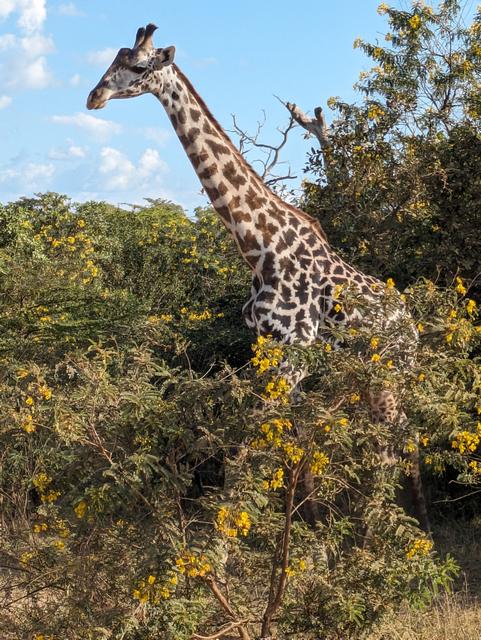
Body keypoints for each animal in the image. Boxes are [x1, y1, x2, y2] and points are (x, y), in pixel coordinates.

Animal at [86, 24, 429, 531]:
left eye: (141, 66)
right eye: (115, 58)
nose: (94, 96)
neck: (258, 246)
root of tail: (411, 326)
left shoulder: (296, 350)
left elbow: (247, 450)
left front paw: (227, 539)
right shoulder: (269, 345)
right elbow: (287, 445)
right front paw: (303, 527)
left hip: (392, 371)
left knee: (393, 444)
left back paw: (386, 530)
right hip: (371, 377)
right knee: (396, 439)